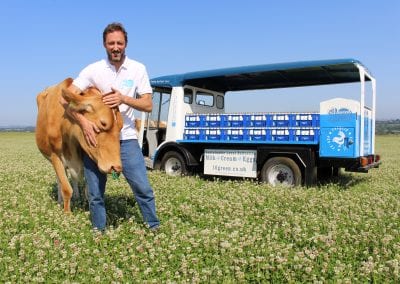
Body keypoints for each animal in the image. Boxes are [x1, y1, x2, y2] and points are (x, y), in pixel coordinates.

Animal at [35, 79, 122, 212]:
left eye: (121, 126)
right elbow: (66, 188)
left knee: (74, 179)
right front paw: (67, 213)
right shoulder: (55, 156)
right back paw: (60, 201)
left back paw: (76, 196)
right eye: (103, 123)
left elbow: (88, 191)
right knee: (60, 180)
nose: (116, 167)